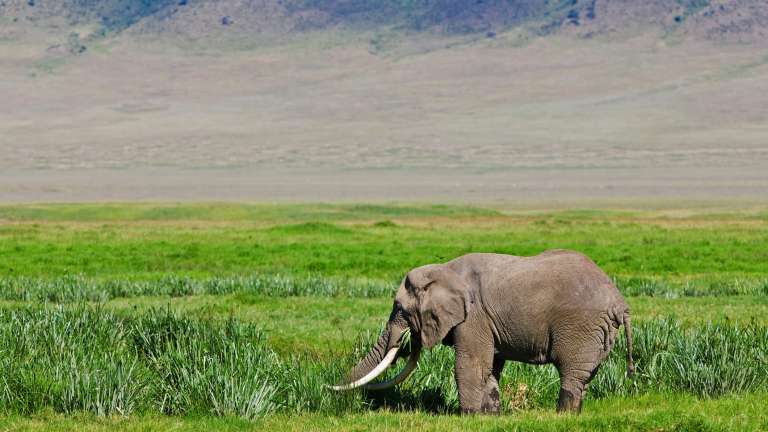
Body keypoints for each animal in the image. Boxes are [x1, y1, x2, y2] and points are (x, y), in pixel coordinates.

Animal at [331, 249, 635, 414]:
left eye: (400, 309)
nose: (332, 390)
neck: (445, 270)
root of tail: (620, 302)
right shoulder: (487, 320)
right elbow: (491, 367)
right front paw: (489, 417)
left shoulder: (473, 317)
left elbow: (470, 364)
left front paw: (467, 417)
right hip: (598, 331)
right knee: (586, 374)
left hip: (580, 326)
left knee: (572, 372)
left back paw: (562, 416)